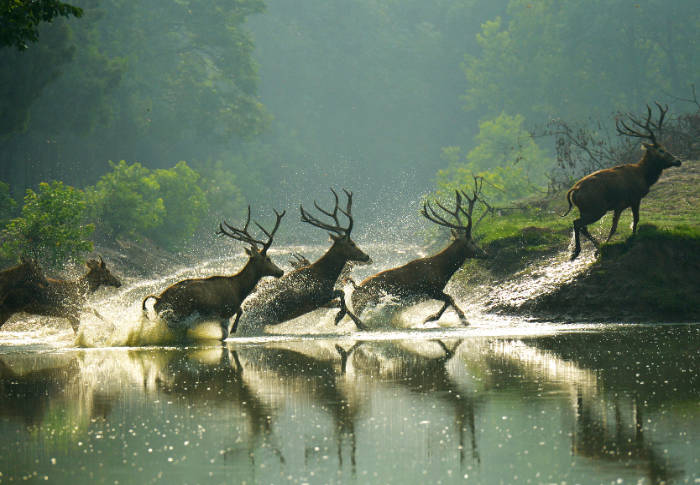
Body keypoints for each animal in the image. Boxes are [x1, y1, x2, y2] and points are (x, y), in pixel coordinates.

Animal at [141, 206, 286, 338]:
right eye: (268, 258)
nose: (281, 271)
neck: (239, 289)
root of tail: (158, 299)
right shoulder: (225, 311)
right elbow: (231, 324)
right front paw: (233, 329)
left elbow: (240, 310)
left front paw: (234, 329)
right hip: (178, 313)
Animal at [348, 178, 486, 326]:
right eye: (472, 241)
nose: (485, 253)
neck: (442, 269)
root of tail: (355, 290)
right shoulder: (430, 289)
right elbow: (450, 299)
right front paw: (436, 317)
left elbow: (450, 299)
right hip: (365, 304)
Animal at [564, 102, 684, 260]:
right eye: (661, 150)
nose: (678, 161)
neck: (644, 176)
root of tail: (574, 191)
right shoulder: (633, 198)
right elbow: (634, 220)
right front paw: (631, 238)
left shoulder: (619, 205)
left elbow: (615, 226)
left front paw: (604, 245)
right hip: (596, 208)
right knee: (577, 223)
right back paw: (577, 251)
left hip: (586, 209)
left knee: (582, 225)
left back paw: (594, 246)